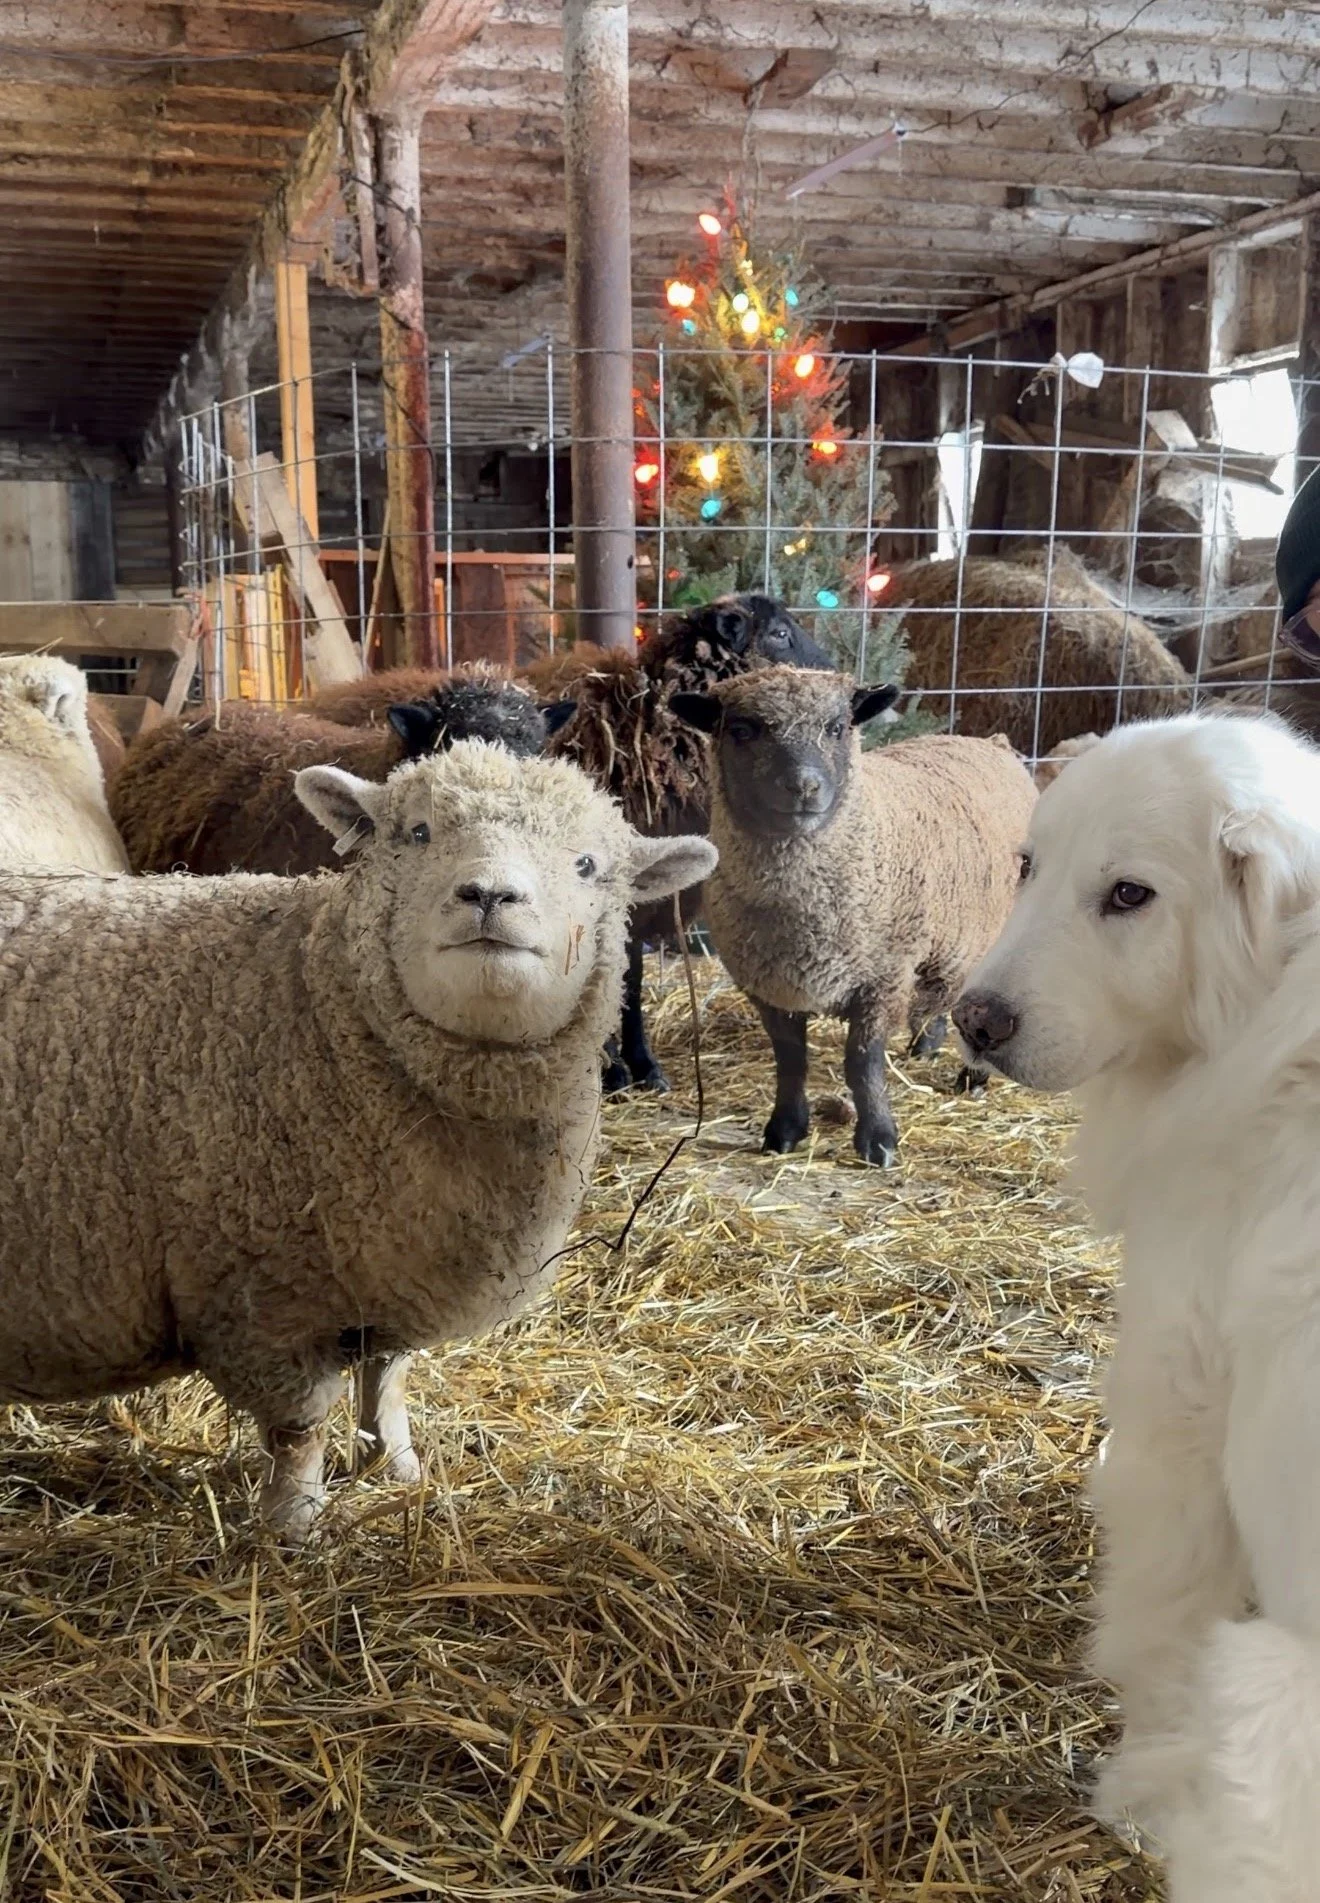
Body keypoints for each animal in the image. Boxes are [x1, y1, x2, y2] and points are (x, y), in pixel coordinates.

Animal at [0, 740, 716, 1539]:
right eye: (417, 832)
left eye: (589, 864)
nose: (490, 895)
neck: (316, 1001)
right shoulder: (261, 1296)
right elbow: (300, 1427)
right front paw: (295, 1525)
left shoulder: (389, 1267)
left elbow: (388, 1378)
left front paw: (396, 1467)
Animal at [673, 665, 1037, 1166]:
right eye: (743, 730)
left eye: (837, 727)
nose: (803, 787)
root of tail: (992, 743)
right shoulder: (768, 985)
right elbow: (790, 1060)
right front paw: (785, 1130)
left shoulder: (881, 978)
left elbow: (862, 1063)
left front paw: (879, 1140)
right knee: (939, 996)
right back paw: (925, 1046)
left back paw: (974, 1077)